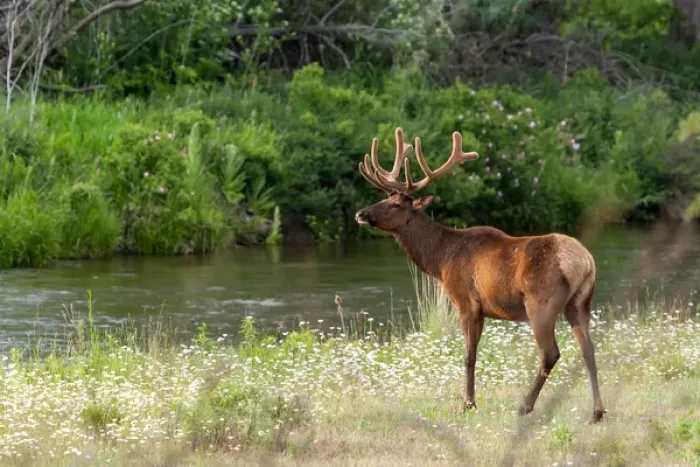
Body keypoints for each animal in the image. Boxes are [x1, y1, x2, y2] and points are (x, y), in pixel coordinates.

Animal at [354, 127, 605, 423]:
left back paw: (525, 406)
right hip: (580, 302)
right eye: (384, 198)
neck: (441, 259)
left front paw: (467, 404)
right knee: (588, 350)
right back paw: (597, 412)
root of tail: (585, 261)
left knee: (550, 353)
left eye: (395, 204)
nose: (360, 213)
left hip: (541, 302)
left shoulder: (466, 301)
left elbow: (468, 356)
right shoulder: (483, 310)